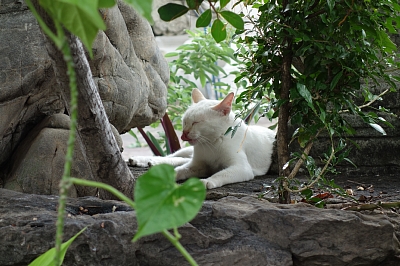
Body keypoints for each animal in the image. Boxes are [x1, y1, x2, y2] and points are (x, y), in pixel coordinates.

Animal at [130, 89, 276, 189]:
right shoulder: (197, 164)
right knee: (172, 157)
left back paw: (149, 162)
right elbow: (180, 170)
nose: (183, 134)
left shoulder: (241, 168)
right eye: (185, 122)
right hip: (186, 151)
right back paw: (141, 160)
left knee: (179, 159)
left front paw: (206, 181)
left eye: (196, 122)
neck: (210, 143)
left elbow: (221, 174)